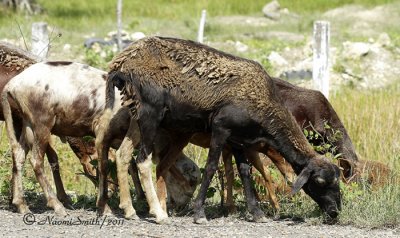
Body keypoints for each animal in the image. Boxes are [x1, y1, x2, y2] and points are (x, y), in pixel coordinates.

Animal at [104, 36, 342, 224]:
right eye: (320, 182)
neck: (264, 105)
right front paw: (199, 213)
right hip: (151, 113)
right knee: (142, 160)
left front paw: (257, 213)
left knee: (123, 154)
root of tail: (122, 62)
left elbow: (245, 172)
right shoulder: (221, 127)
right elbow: (210, 167)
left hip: (136, 115)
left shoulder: (239, 139)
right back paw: (158, 213)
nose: (335, 212)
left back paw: (130, 211)